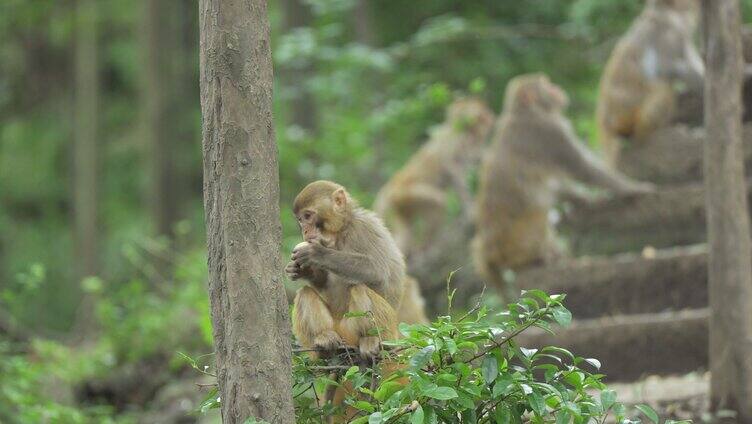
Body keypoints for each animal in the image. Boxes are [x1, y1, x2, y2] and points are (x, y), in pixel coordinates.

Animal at [374, 97, 496, 258]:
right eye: (483, 112)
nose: (490, 117)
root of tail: (389, 186)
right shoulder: (455, 142)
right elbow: (453, 169)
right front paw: (470, 206)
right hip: (406, 194)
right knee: (439, 202)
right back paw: (425, 246)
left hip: (401, 206)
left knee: (406, 232)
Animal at [472, 74, 656, 302]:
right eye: (546, 84)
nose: (556, 89)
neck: (526, 111)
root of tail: (489, 254)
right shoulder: (551, 132)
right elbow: (582, 168)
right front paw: (633, 188)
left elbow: (557, 186)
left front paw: (583, 199)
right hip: (516, 244)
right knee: (539, 213)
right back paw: (539, 258)